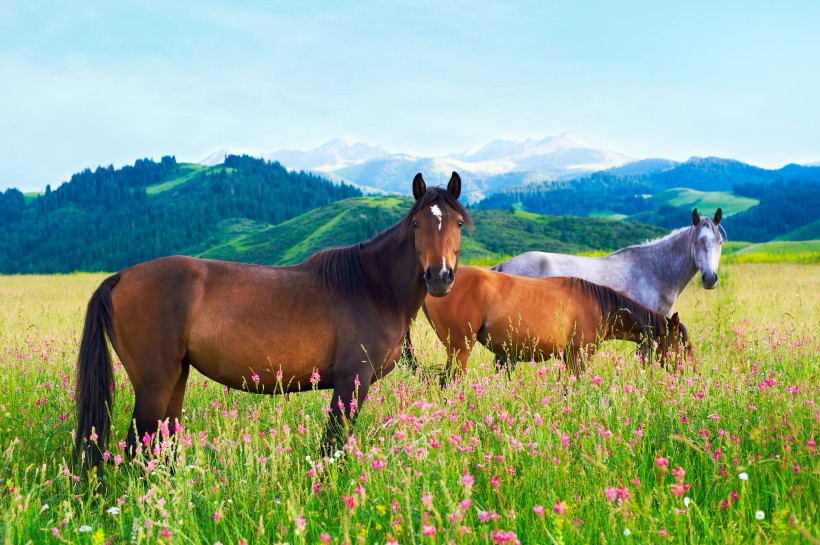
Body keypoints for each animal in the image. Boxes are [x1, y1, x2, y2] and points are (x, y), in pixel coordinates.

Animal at [78, 172, 474, 470]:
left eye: (457, 223)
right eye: (417, 223)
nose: (439, 277)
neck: (373, 286)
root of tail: (120, 277)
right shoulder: (351, 381)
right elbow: (333, 446)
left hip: (176, 378)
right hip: (153, 384)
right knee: (136, 448)